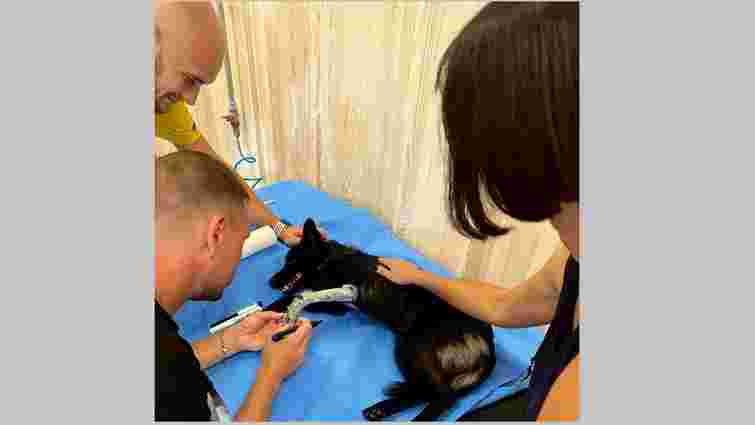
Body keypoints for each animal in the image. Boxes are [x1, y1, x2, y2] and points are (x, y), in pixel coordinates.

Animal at [267, 218, 496, 421]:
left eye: (291, 261)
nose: (270, 282)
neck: (328, 260)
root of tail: (488, 346)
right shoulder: (340, 306)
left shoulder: (339, 302)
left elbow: (295, 296)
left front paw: (276, 307)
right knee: (426, 391)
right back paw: (380, 410)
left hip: (412, 346)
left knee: (442, 394)